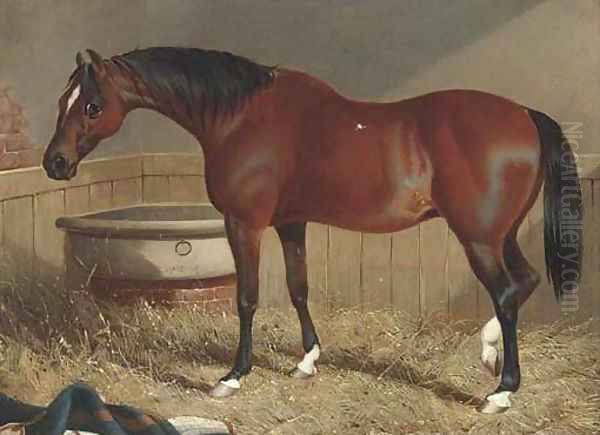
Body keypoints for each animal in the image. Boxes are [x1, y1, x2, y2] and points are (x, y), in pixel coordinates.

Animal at [43, 48, 580, 416]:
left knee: (506, 294)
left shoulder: (245, 224)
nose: (55, 163)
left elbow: (247, 298)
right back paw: (489, 357)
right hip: (500, 235)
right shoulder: (290, 223)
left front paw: (232, 377)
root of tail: (524, 115)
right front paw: (307, 360)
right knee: (524, 283)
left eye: (92, 106)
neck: (240, 117)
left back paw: (501, 391)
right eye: (62, 99)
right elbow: (298, 287)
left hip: (479, 240)